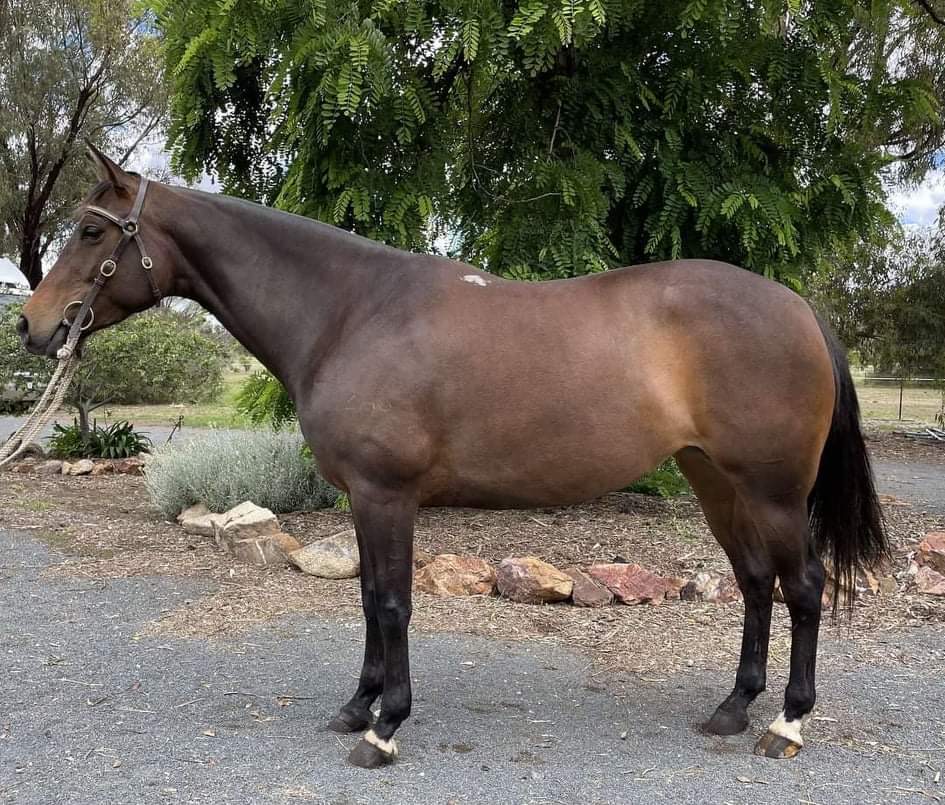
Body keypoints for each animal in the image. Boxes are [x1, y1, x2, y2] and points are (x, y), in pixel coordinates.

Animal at [18, 143, 887, 769]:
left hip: (772, 490)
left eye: (93, 230)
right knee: (755, 582)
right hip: (714, 481)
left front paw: (385, 728)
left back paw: (786, 723)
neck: (349, 311)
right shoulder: (361, 498)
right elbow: (366, 596)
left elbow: (392, 602)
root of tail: (796, 306)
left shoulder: (385, 493)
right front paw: (356, 707)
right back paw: (732, 707)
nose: (32, 325)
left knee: (802, 585)